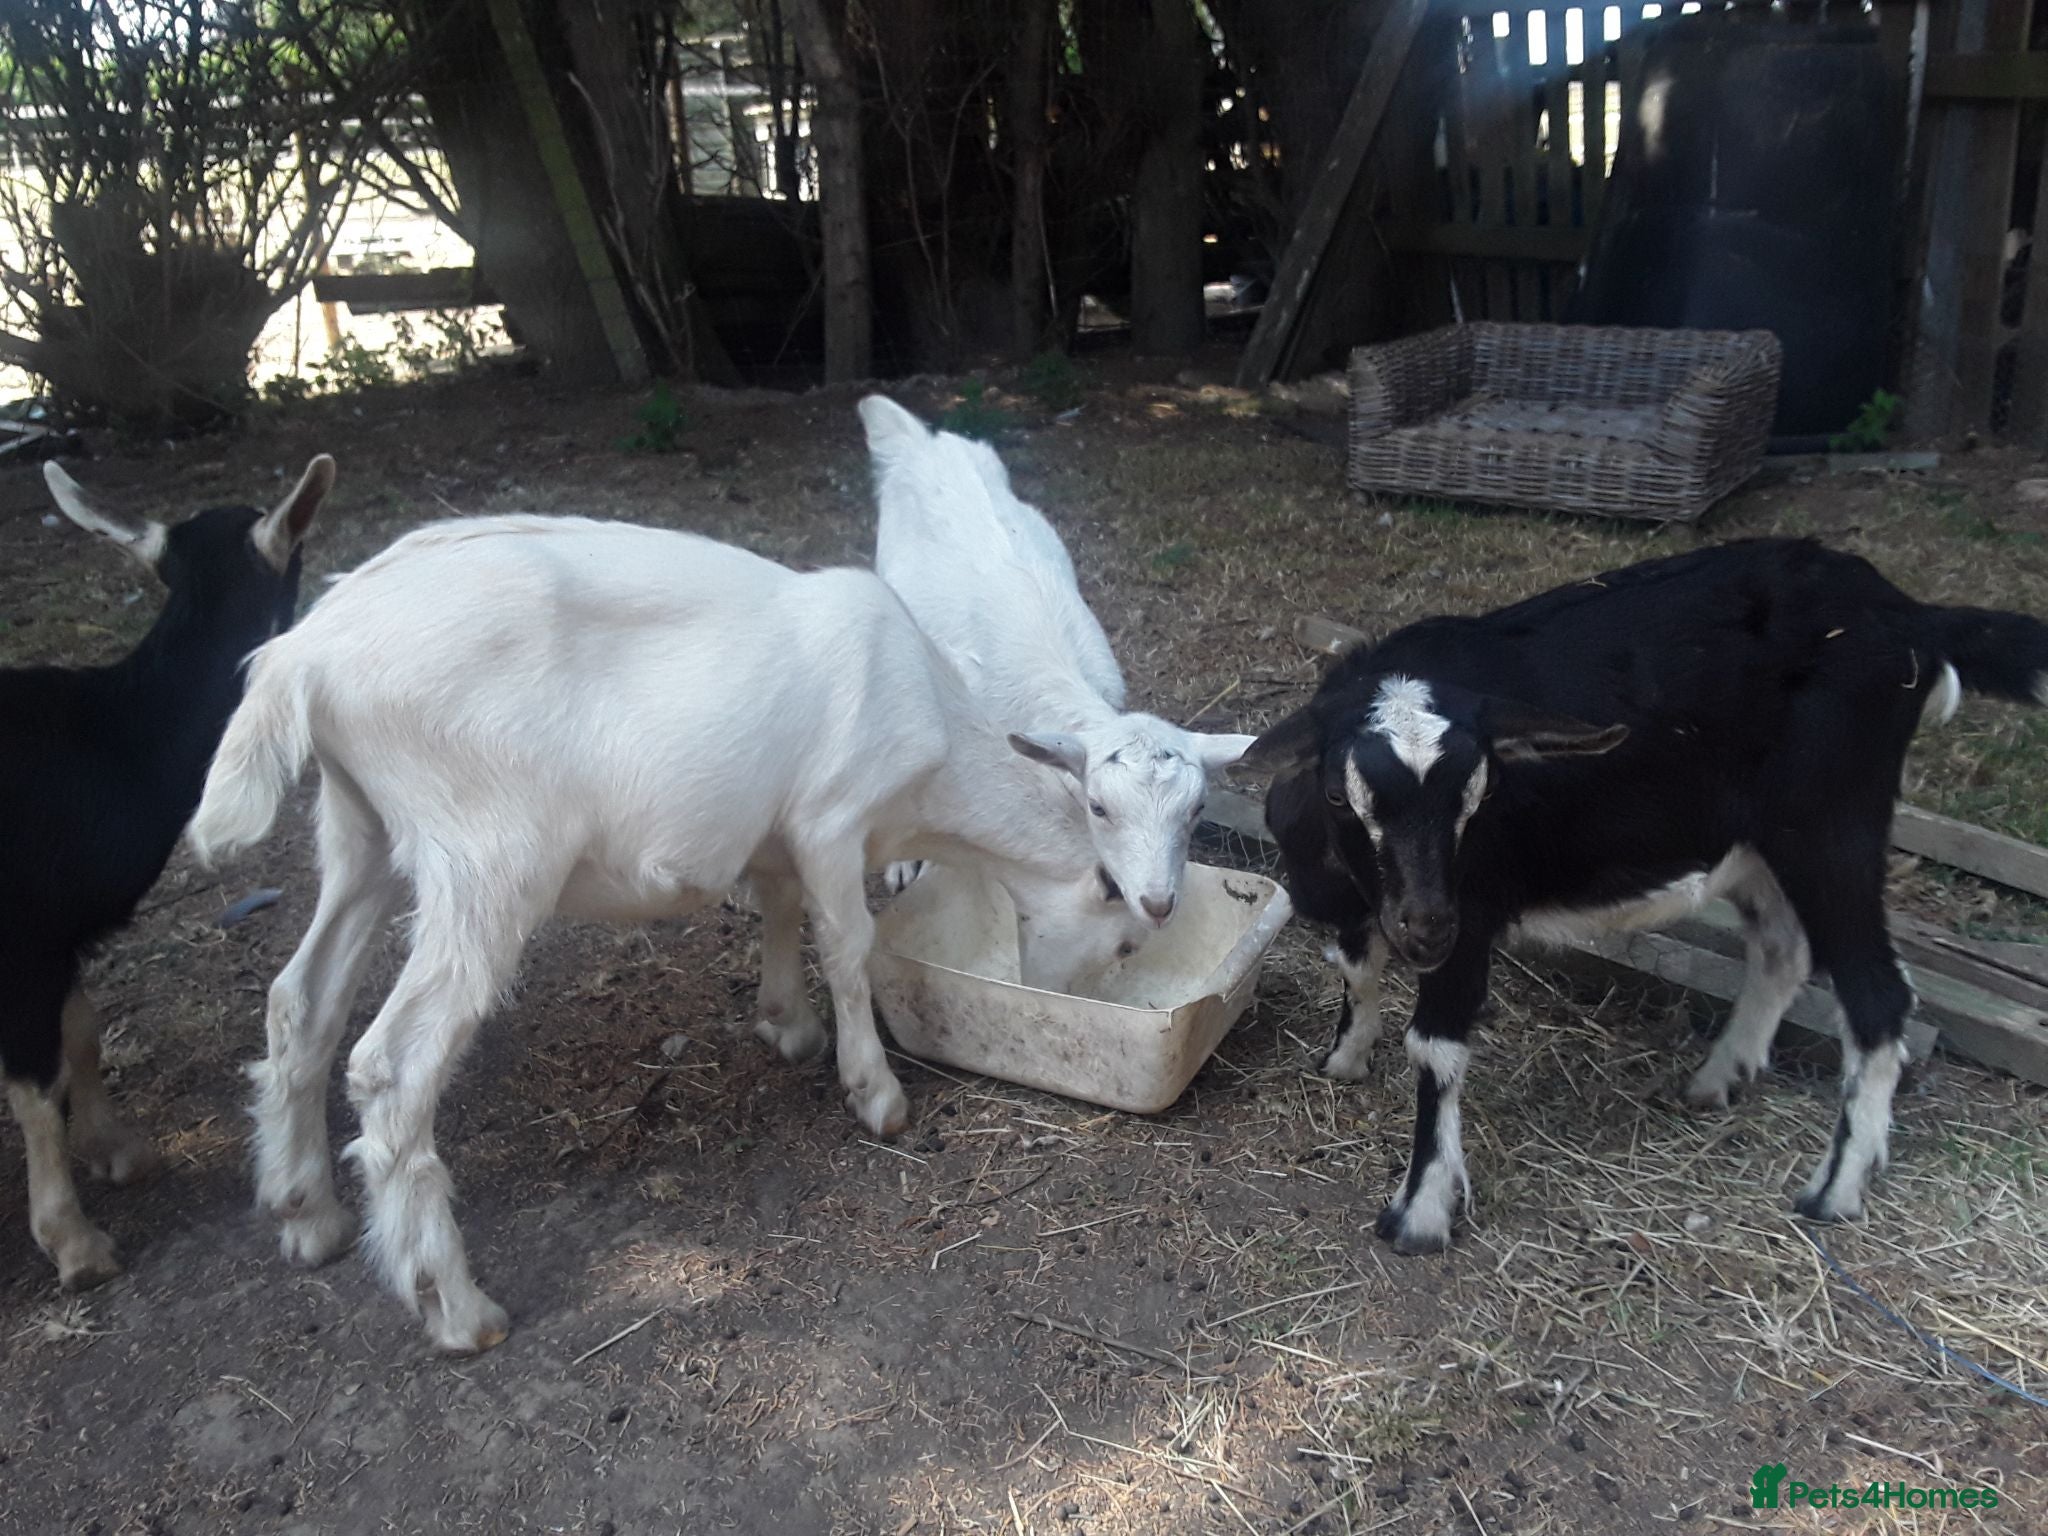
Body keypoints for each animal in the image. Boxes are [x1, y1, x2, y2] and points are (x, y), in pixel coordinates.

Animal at [1, 456, 331, 1288]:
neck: (113, 738)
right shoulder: (22, 938)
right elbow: (34, 1084)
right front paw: (74, 1242)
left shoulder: (61, 933)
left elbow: (82, 1034)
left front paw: (115, 1148)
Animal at [186, 514, 1148, 1352]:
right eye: (1125, 931)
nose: (1067, 997)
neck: (938, 738)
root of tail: (305, 654)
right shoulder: (833, 816)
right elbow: (848, 947)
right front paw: (875, 1093)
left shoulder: (777, 829)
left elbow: (780, 907)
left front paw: (786, 1023)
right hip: (485, 856)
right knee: (390, 1066)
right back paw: (456, 1308)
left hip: (361, 832)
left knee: (298, 1003)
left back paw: (306, 1212)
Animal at [1251, 538, 2048, 1253]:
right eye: (1339, 795)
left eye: (1480, 796)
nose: (1424, 928)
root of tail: (1909, 615)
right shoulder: (1367, 903)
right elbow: (1356, 967)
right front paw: (1344, 1061)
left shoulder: (1472, 907)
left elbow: (1437, 1049)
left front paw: (1418, 1212)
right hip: (1759, 838)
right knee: (1781, 951)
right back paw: (1717, 1080)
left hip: (1833, 820)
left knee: (1878, 994)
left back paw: (1835, 1189)